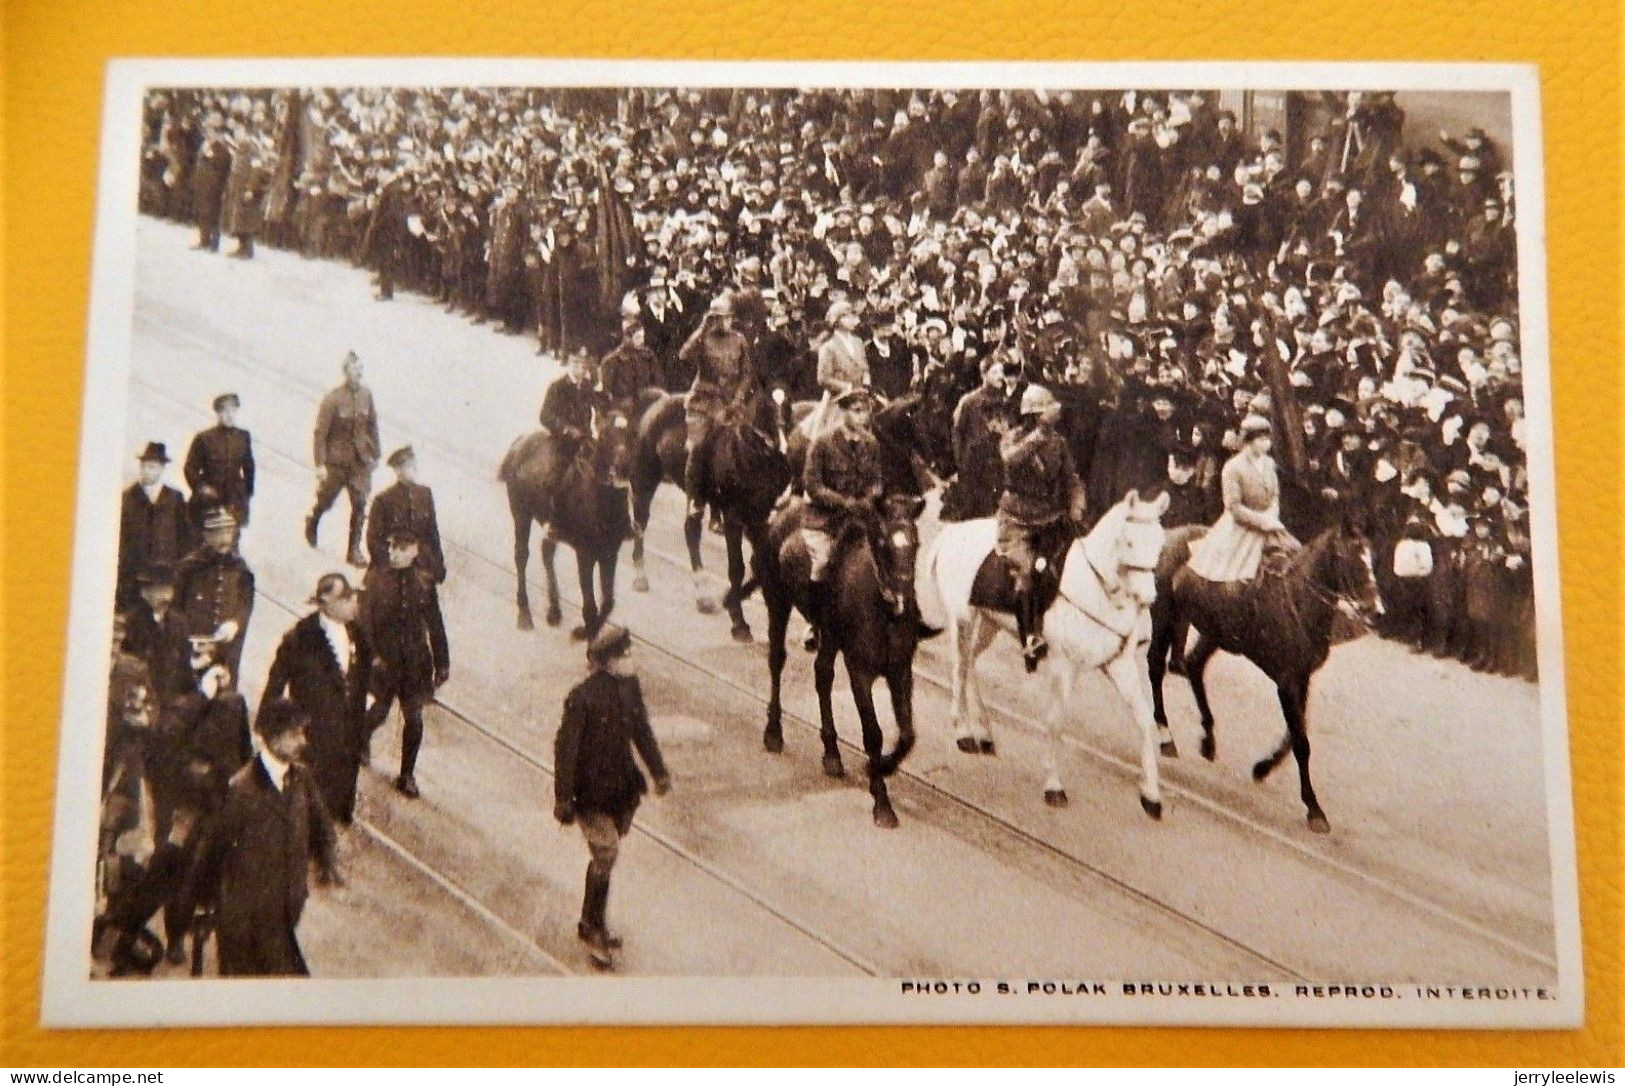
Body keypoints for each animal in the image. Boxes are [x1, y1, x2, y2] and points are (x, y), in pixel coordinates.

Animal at [500, 412, 633, 637]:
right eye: (606, 438)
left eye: (631, 437)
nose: (623, 469)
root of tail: (518, 443)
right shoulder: (585, 554)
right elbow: (590, 608)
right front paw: (585, 634)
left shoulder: (609, 553)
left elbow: (608, 602)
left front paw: (587, 633)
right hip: (520, 512)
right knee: (521, 555)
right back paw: (524, 614)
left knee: (546, 551)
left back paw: (554, 611)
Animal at [627, 391, 793, 640]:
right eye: (765, 404)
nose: (781, 447)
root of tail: (659, 400)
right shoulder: (734, 516)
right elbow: (737, 567)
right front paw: (738, 622)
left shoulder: (760, 517)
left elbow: (761, 563)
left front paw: (729, 599)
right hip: (645, 479)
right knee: (641, 522)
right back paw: (640, 577)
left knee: (691, 531)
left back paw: (703, 597)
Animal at [731, 494, 936, 832]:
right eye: (882, 542)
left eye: (916, 542)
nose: (902, 598)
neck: (883, 612)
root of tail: (784, 511)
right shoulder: (860, 671)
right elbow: (874, 733)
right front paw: (882, 802)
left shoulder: (900, 672)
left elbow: (907, 735)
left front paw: (885, 766)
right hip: (778, 602)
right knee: (777, 661)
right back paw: (774, 732)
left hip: (829, 633)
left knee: (823, 675)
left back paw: (831, 754)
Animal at [923, 490, 1176, 812]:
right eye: (1129, 542)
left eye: (1159, 541)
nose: (1149, 597)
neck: (1099, 591)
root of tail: (951, 534)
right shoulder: (1064, 665)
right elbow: (1055, 723)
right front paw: (1054, 786)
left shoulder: (1120, 665)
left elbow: (1144, 721)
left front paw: (1151, 794)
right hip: (962, 620)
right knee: (958, 668)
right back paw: (964, 732)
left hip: (990, 623)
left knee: (970, 664)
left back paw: (984, 733)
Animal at [1144, 516, 1384, 832]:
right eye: (1349, 557)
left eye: (1372, 558)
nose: (1376, 610)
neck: (1298, 599)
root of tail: (1171, 534)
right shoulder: (1286, 681)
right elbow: (1301, 742)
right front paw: (1314, 810)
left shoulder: (1302, 677)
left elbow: (1294, 735)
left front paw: (1262, 768)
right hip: (1164, 615)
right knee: (1156, 667)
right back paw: (1166, 737)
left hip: (1214, 632)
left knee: (1193, 665)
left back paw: (1208, 740)